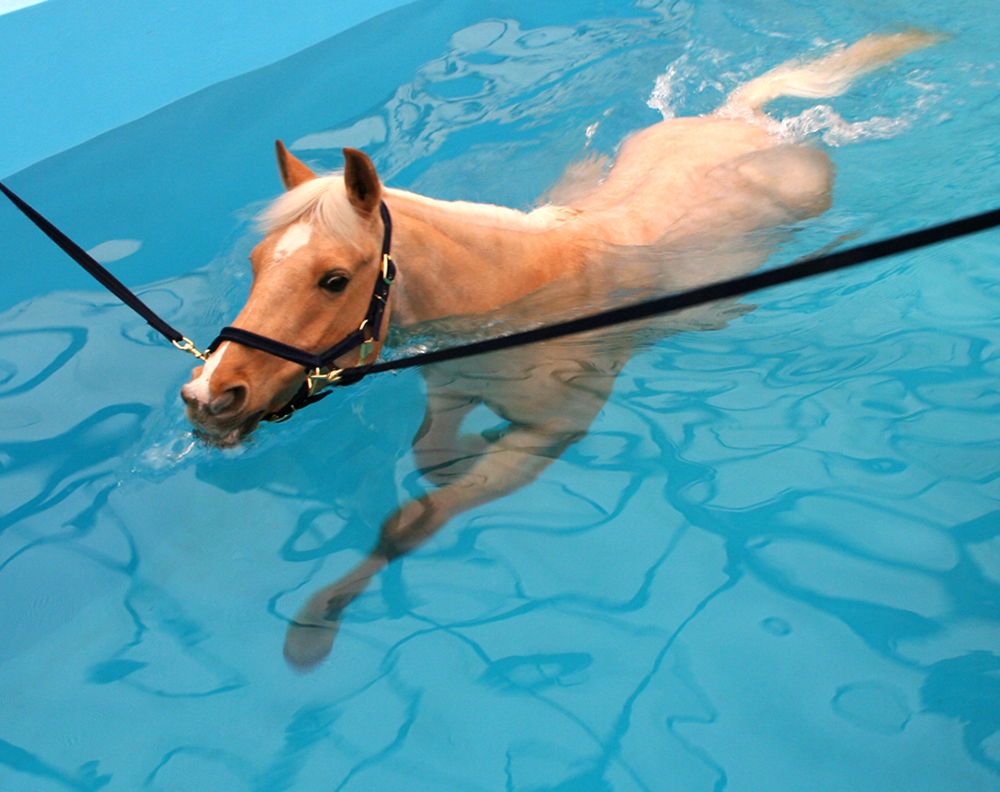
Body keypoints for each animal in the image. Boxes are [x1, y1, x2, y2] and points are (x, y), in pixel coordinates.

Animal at [180, 32, 936, 668]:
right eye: (256, 262)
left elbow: (414, 519)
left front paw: (315, 625)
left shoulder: (552, 432)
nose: (209, 397)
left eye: (333, 279)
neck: (519, 288)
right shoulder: (452, 391)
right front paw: (461, 454)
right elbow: (433, 457)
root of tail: (740, 118)